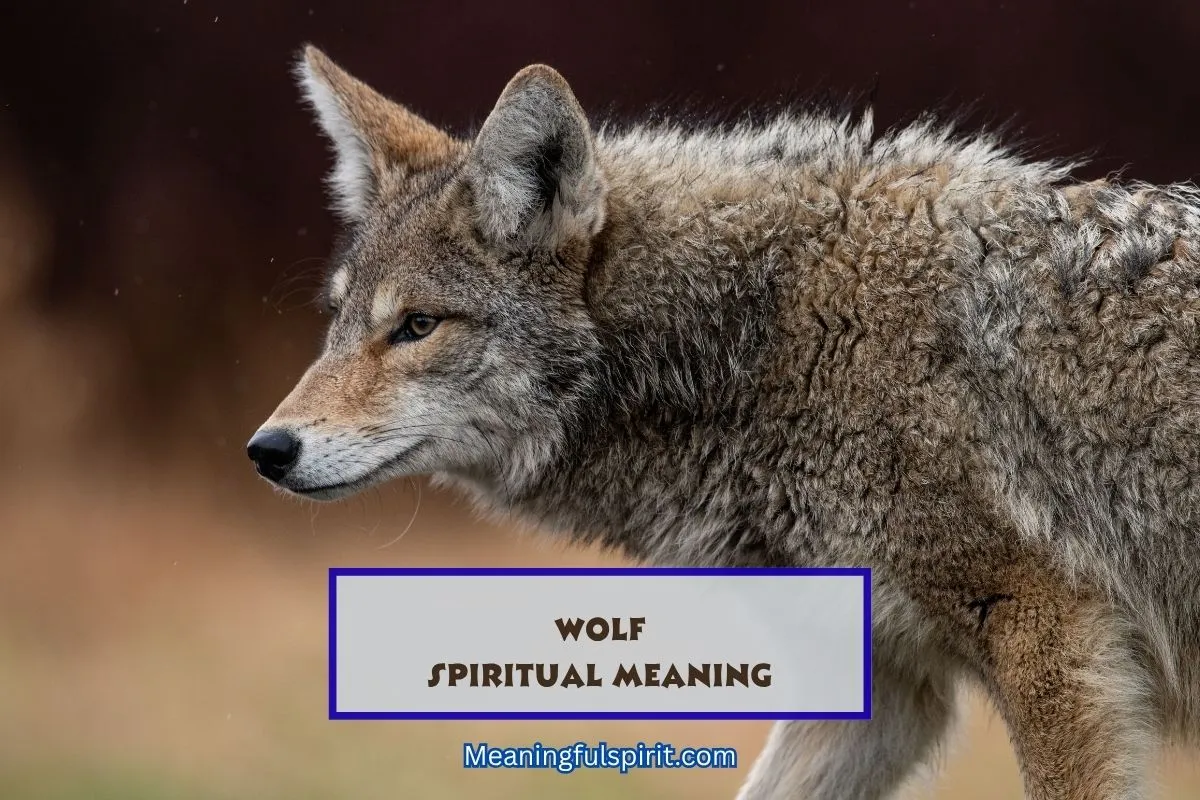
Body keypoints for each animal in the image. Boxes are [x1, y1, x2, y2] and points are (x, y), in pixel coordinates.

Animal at [249, 44, 1200, 799]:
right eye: (337, 321)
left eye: (416, 326)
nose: (267, 449)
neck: (760, 335)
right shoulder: (883, 691)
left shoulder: (1048, 634)